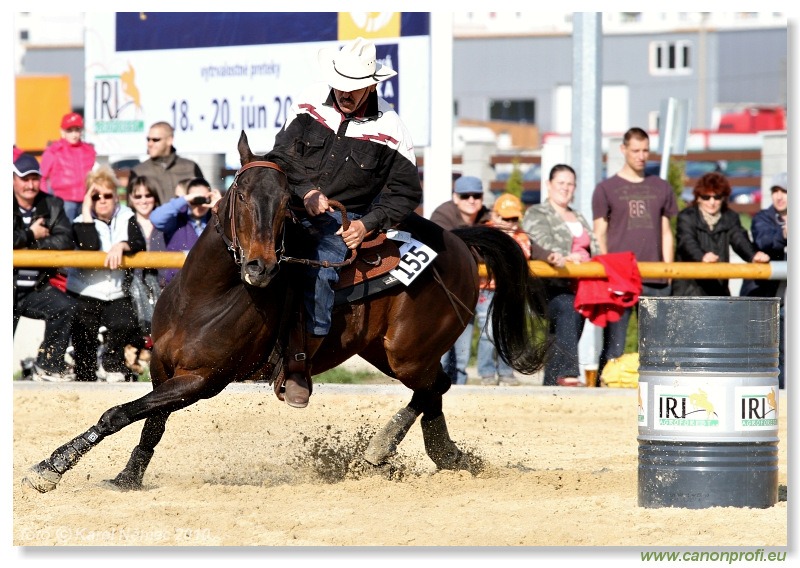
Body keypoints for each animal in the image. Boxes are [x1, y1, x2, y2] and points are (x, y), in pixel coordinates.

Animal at [25, 130, 552, 492]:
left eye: (286, 205)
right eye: (238, 193)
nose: (260, 266)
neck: (204, 298)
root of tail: (459, 241)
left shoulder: (202, 381)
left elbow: (120, 413)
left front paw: (51, 467)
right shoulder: (163, 370)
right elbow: (149, 424)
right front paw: (127, 478)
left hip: (407, 352)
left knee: (433, 388)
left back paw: (382, 449)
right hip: (388, 354)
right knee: (433, 393)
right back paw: (445, 457)